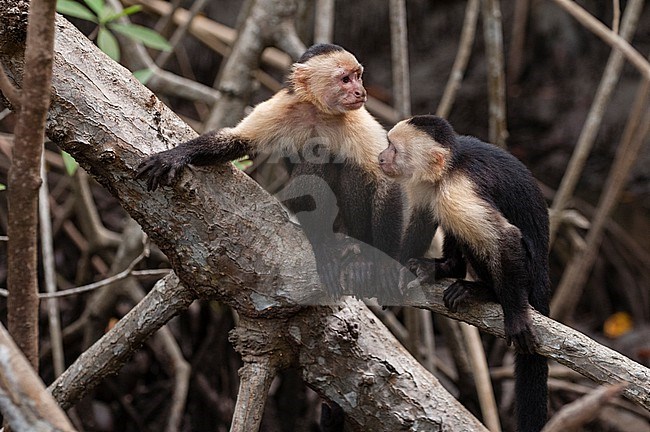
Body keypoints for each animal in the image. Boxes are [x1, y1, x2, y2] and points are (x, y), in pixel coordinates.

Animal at [135, 43, 400, 300]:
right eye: (345, 79)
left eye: (358, 76)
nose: (360, 92)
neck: (319, 112)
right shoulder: (281, 106)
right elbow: (236, 140)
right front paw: (174, 156)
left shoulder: (358, 121)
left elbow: (388, 183)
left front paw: (383, 262)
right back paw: (322, 242)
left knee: (351, 168)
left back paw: (357, 251)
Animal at [378, 115, 548, 432]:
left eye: (393, 148)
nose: (381, 157)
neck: (450, 167)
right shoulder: (426, 183)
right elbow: (422, 217)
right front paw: (393, 271)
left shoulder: (459, 189)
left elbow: (505, 239)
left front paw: (516, 316)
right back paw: (445, 268)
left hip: (529, 276)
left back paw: (484, 291)